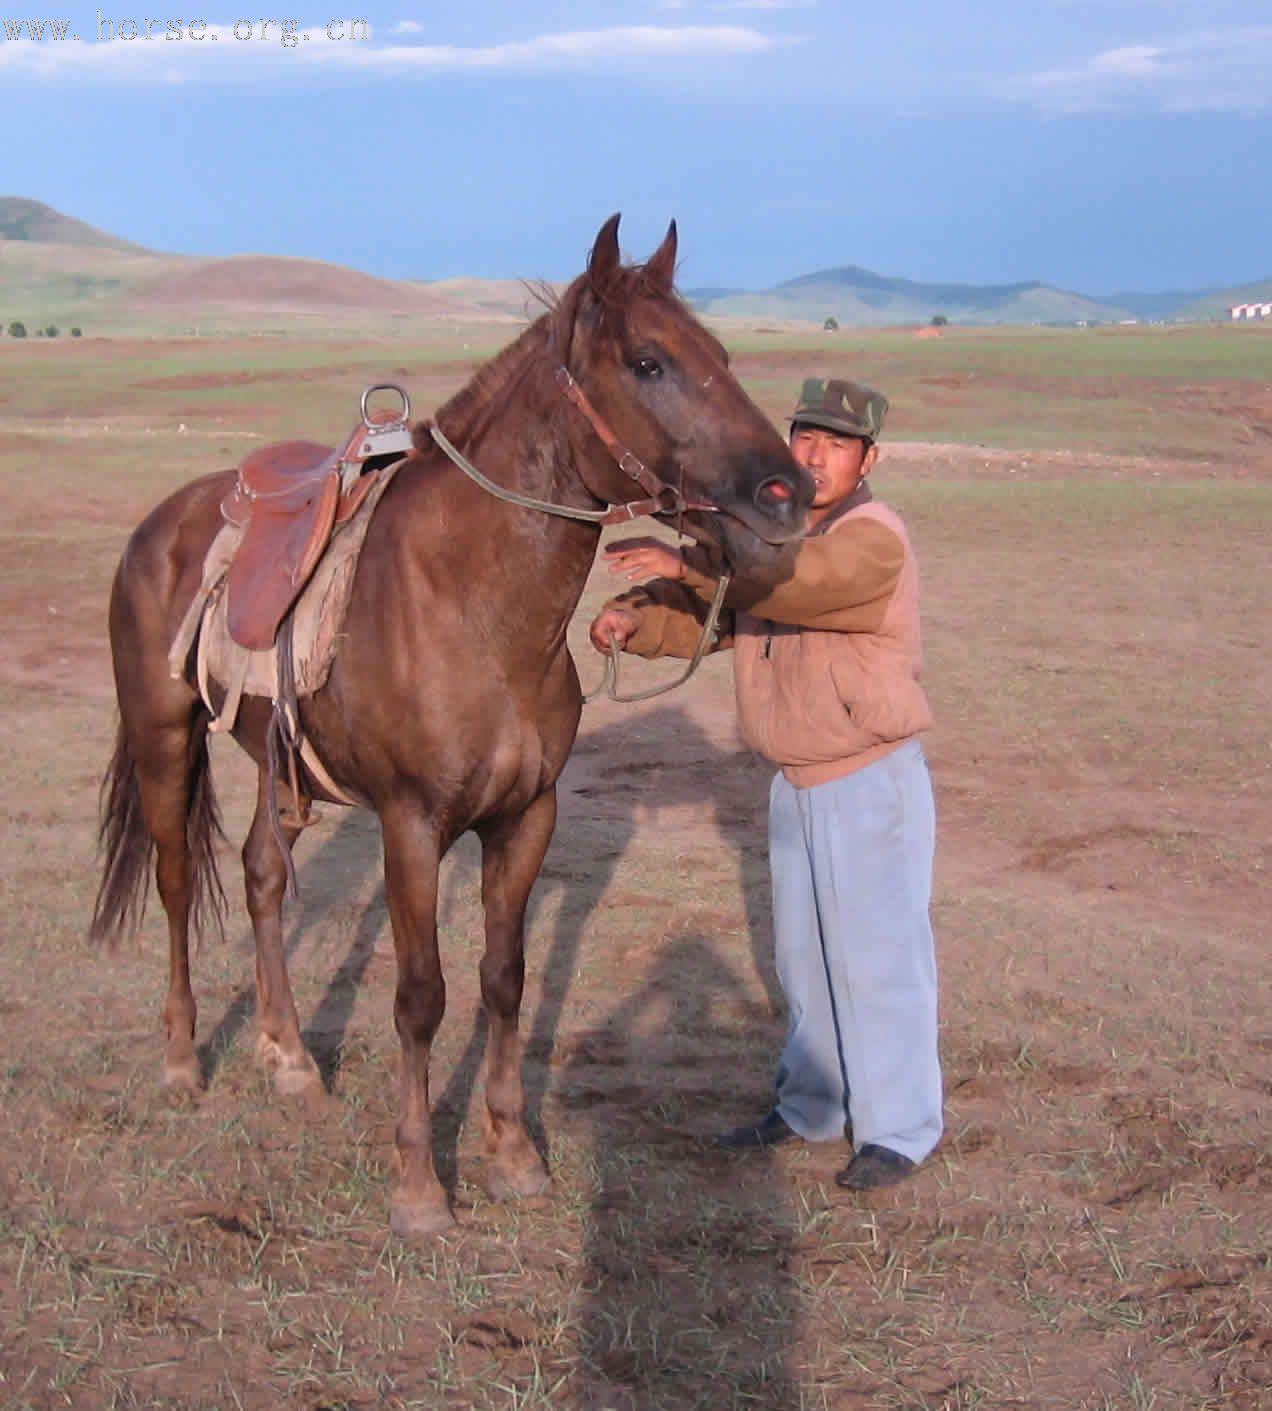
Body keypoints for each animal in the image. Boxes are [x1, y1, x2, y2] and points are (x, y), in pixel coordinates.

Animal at [89, 211, 813, 1236]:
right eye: (648, 362)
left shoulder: (526, 817)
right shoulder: (411, 824)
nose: (788, 494)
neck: (474, 606)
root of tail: (163, 523)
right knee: (179, 882)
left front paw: (512, 1153)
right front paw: (419, 1183)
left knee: (264, 877)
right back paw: (185, 1060)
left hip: (278, 765)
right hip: (164, 739)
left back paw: (290, 1059)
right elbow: (420, 995)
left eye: (720, 352)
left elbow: (504, 979)